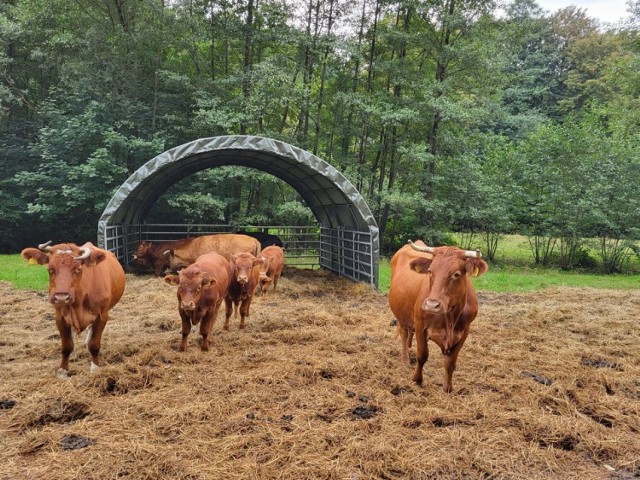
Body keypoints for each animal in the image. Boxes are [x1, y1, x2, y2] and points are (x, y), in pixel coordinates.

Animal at [20, 242, 125, 376]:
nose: (61, 297)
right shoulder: (60, 317)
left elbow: (94, 344)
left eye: (78, 269)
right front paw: (63, 371)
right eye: (50, 269)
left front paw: (95, 369)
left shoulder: (102, 315)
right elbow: (67, 346)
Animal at [388, 240, 488, 394]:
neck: (449, 318)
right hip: (400, 314)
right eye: (430, 271)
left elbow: (450, 363)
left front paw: (447, 388)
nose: (431, 305)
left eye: (456, 274)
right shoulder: (420, 326)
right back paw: (405, 360)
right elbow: (422, 355)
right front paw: (417, 379)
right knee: (404, 333)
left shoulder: (464, 332)